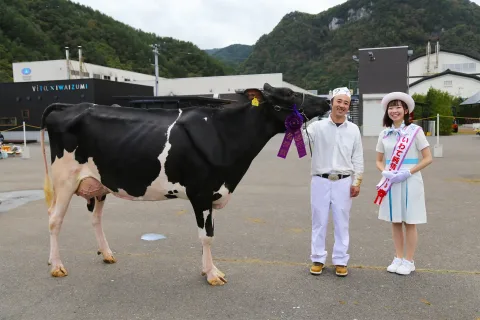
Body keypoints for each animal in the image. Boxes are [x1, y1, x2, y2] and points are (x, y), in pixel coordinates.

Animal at [40, 82, 330, 284]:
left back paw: (107, 254)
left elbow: (209, 234)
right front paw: (212, 274)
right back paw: (57, 266)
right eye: (289, 94)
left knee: (95, 219)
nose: (326, 101)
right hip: (64, 179)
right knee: (54, 219)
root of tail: (70, 106)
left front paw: (206, 269)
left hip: (99, 183)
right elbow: (206, 236)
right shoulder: (200, 192)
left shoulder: (213, 192)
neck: (224, 136)